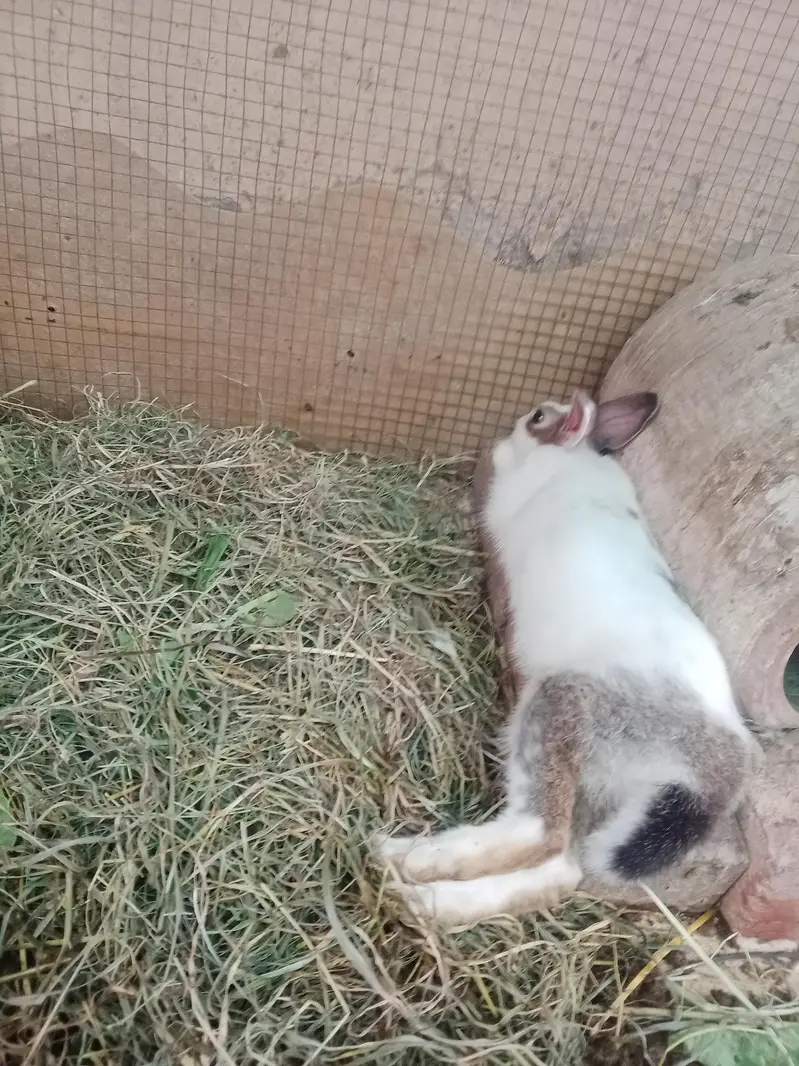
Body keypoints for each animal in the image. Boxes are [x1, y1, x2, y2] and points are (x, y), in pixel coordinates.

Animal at [373, 390, 758, 926]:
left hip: (558, 711)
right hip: (600, 791)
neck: (569, 458)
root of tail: (714, 779)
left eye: (539, 418)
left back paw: (407, 858)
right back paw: (424, 899)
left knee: (538, 831)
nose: (510, 427)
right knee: (560, 869)